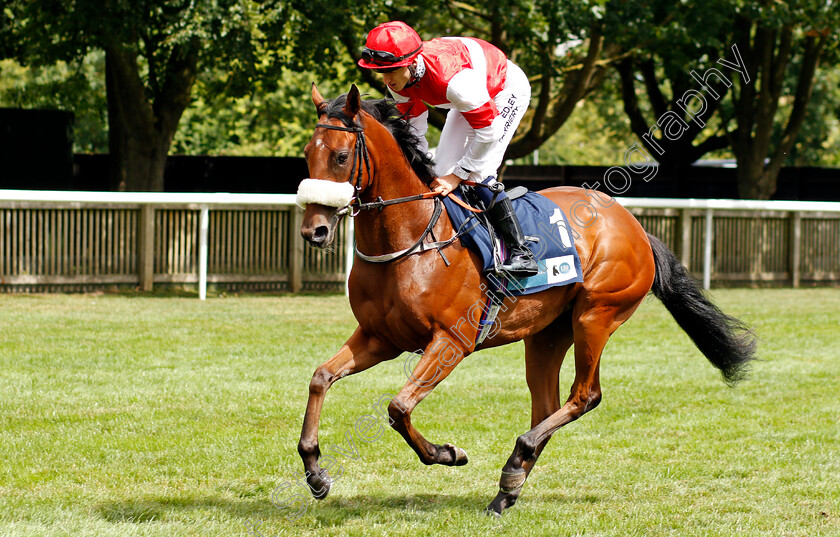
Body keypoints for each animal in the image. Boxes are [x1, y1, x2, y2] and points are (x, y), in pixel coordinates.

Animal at [296, 84, 756, 516]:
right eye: (306, 155)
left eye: (341, 156)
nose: (314, 231)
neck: (412, 240)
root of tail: (633, 225)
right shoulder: (380, 337)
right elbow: (321, 377)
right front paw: (315, 470)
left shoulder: (450, 342)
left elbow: (398, 406)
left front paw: (447, 453)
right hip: (546, 334)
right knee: (547, 405)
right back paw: (510, 485)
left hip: (595, 316)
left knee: (584, 396)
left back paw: (518, 457)